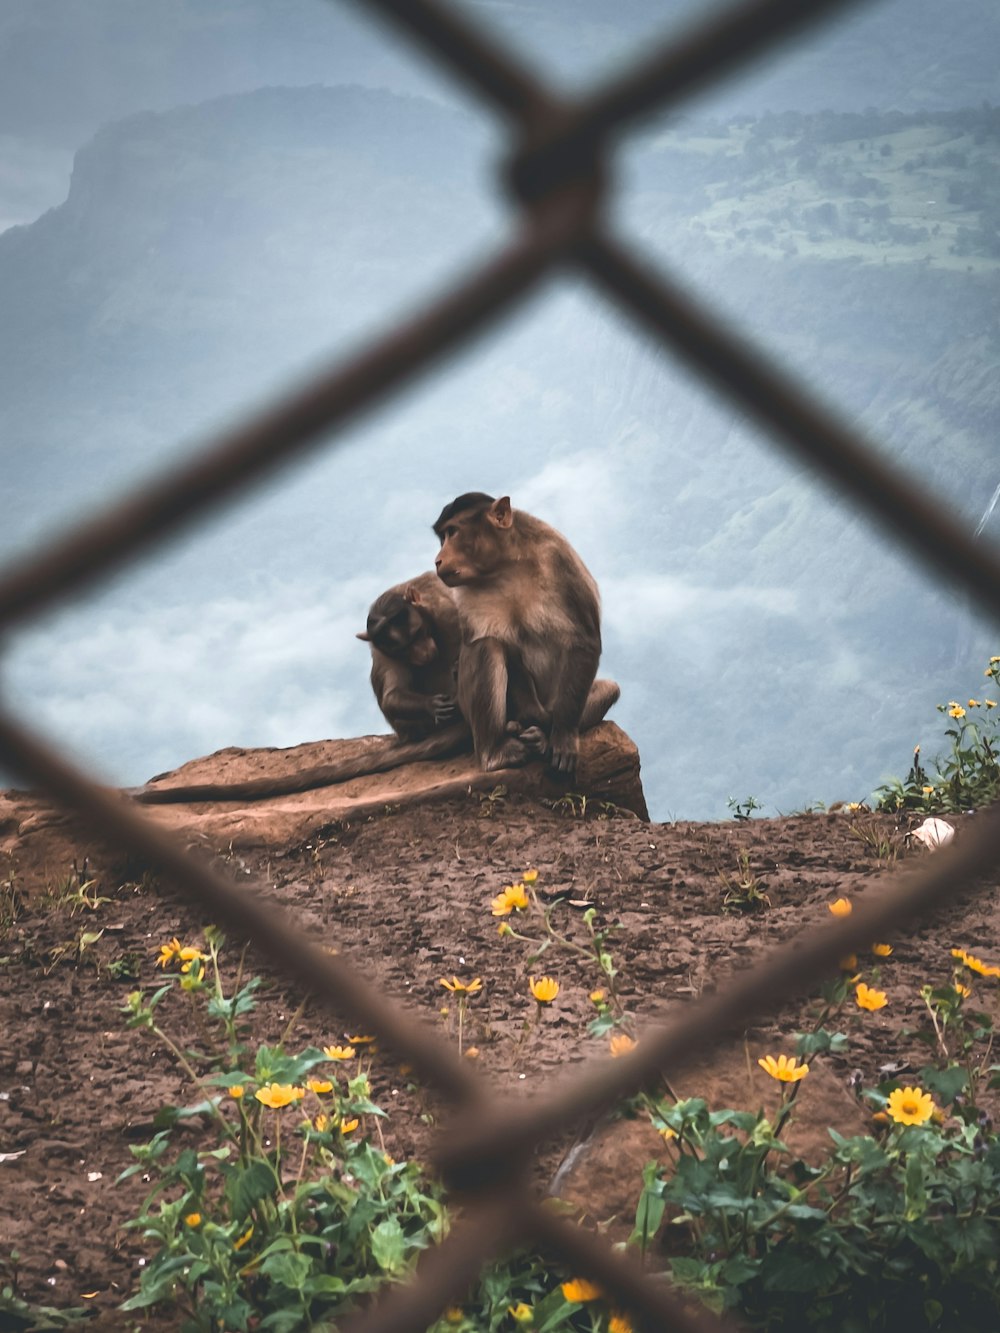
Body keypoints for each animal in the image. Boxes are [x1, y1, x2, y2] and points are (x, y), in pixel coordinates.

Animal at [437, 495, 624, 778]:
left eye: (453, 532)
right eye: (444, 536)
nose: (438, 559)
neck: (507, 564)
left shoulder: (559, 559)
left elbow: (583, 640)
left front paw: (562, 736)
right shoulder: (469, 592)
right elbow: (505, 645)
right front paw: (536, 723)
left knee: (608, 689)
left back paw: (542, 737)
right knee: (486, 647)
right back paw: (497, 751)